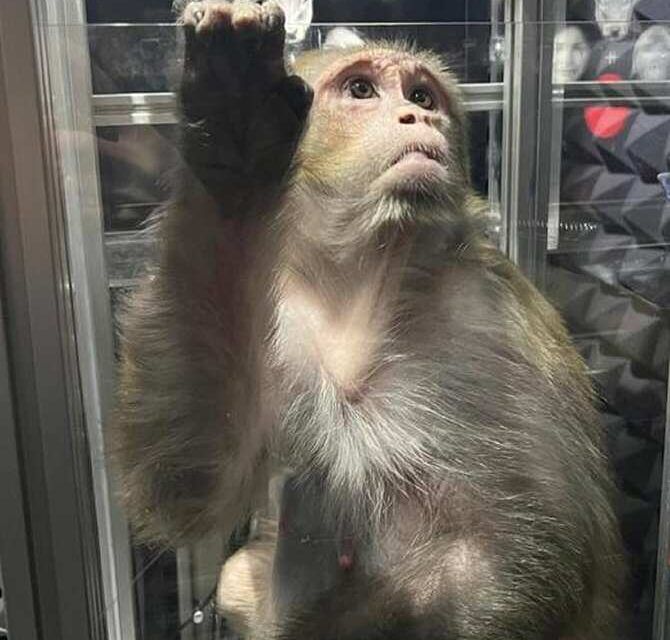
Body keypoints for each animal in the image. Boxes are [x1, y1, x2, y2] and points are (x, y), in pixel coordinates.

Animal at [109, 1, 625, 638]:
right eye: (361, 90)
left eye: (423, 96)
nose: (415, 116)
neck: (360, 285)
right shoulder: (282, 321)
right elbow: (191, 480)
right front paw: (234, 147)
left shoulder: (500, 321)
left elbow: (538, 556)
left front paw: (237, 136)